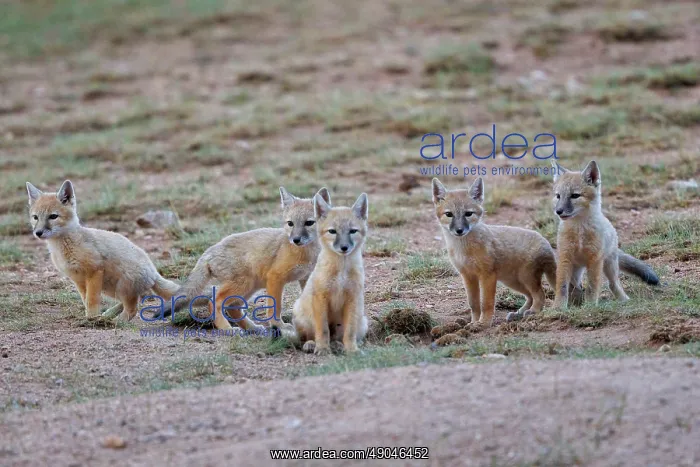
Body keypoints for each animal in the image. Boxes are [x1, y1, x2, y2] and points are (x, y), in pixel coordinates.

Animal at [26, 180, 180, 321]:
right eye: (35, 217)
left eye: (53, 216)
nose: (38, 233)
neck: (64, 248)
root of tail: (153, 273)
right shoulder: (78, 280)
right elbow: (85, 300)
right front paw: (91, 317)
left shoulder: (94, 271)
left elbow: (92, 300)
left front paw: (92, 319)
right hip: (112, 290)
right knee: (132, 302)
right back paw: (108, 315)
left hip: (122, 288)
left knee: (133, 309)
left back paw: (115, 322)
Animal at [159, 187, 330, 332]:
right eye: (290, 223)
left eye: (309, 223)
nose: (295, 239)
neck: (306, 253)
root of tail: (209, 251)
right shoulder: (275, 278)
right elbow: (275, 307)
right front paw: (279, 325)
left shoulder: (305, 278)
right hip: (242, 285)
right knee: (214, 301)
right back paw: (227, 329)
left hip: (249, 288)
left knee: (233, 308)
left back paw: (252, 328)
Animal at [289, 192, 369, 355]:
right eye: (332, 231)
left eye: (353, 231)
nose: (344, 247)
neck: (341, 271)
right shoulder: (321, 298)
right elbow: (323, 329)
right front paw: (322, 348)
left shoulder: (353, 299)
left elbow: (349, 332)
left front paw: (352, 350)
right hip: (303, 318)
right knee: (307, 337)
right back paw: (311, 344)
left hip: (361, 321)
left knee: (339, 337)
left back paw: (339, 345)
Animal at [432, 177, 559, 325]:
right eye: (449, 214)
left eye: (468, 214)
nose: (459, 230)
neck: (463, 248)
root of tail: (546, 243)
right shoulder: (468, 276)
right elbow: (473, 304)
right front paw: (473, 323)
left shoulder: (487, 275)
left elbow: (486, 303)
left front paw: (484, 323)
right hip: (513, 282)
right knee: (530, 296)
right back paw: (519, 314)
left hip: (526, 278)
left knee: (540, 294)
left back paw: (533, 312)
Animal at [551, 160, 659, 309]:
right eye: (558, 196)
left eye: (575, 195)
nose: (558, 211)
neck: (580, 232)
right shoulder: (565, 258)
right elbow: (561, 287)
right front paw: (558, 308)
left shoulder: (595, 259)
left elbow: (592, 287)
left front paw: (590, 306)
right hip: (576, 270)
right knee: (575, 285)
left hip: (609, 266)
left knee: (613, 284)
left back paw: (624, 299)